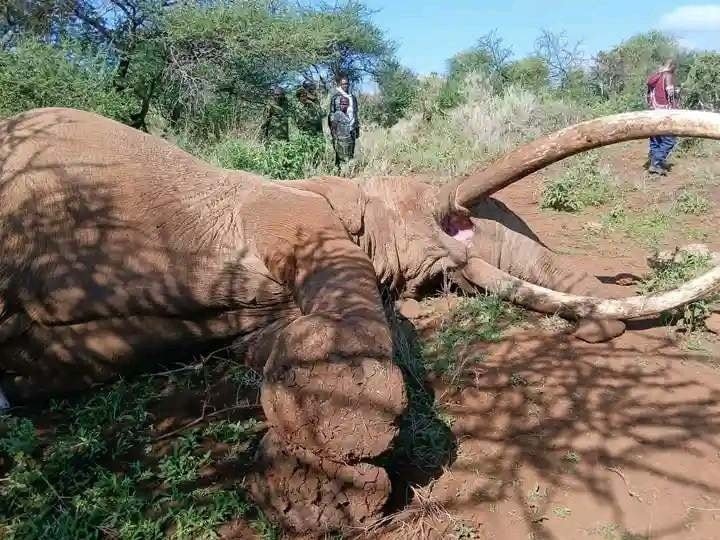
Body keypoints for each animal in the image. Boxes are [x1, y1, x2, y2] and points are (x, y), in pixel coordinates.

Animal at [2, 107, 720, 535]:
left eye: (438, 285)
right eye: (435, 209)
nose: (598, 332)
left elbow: (268, 346)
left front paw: (313, 486)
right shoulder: (284, 203)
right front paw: (329, 483)